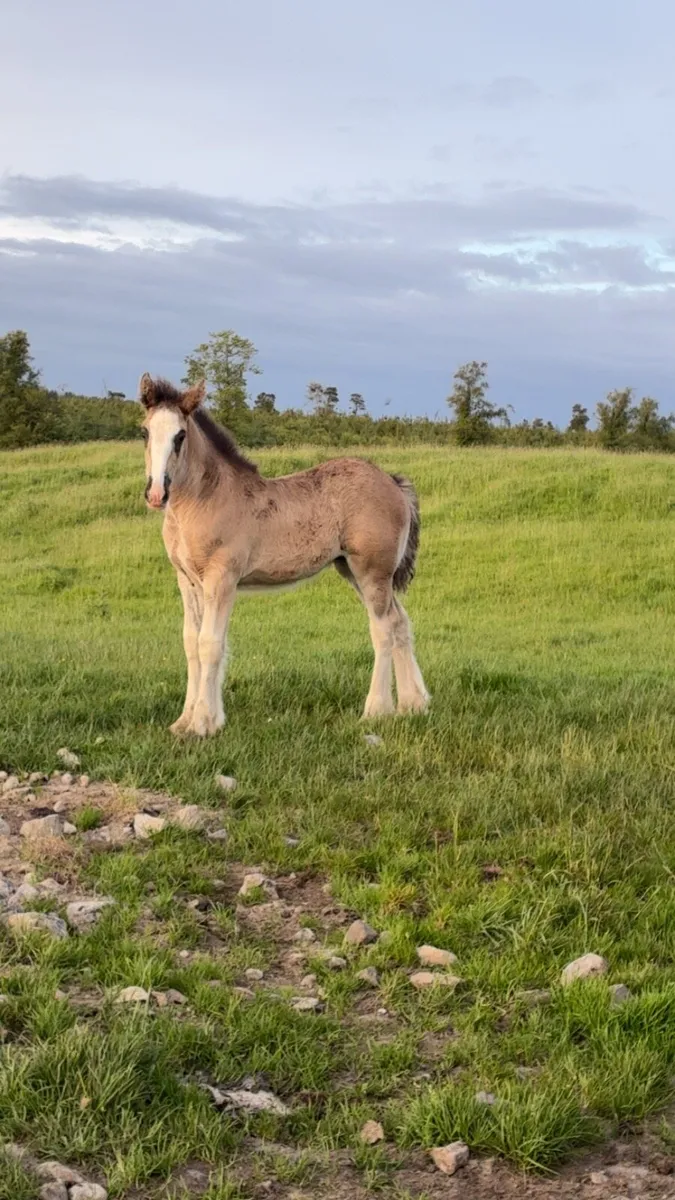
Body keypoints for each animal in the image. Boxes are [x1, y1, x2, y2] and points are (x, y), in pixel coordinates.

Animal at [139, 374, 429, 736]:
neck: (206, 499)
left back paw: (376, 710)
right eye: (144, 432)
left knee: (383, 628)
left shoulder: (222, 578)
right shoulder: (187, 580)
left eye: (180, 435)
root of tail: (392, 481)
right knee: (400, 620)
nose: (156, 493)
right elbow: (191, 643)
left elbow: (211, 644)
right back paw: (413, 704)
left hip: (372, 571)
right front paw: (185, 721)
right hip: (353, 570)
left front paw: (204, 723)